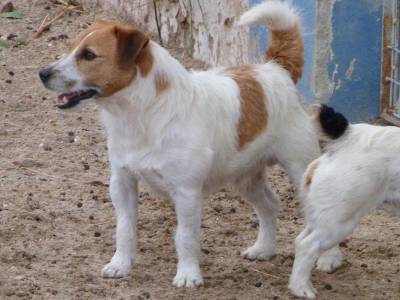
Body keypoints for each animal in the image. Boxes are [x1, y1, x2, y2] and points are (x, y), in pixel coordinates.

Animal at [39, 0, 318, 288]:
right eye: (71, 47)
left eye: (89, 55)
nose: (43, 73)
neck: (143, 114)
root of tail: (276, 68)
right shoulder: (122, 183)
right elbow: (124, 229)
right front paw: (121, 264)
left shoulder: (186, 193)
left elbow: (185, 237)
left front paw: (188, 275)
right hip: (245, 177)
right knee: (270, 205)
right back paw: (264, 249)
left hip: (301, 172)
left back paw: (326, 262)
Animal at [290, 104, 400, 296]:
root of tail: (349, 137)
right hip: (337, 223)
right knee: (307, 246)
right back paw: (302, 289)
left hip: (320, 217)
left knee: (300, 241)